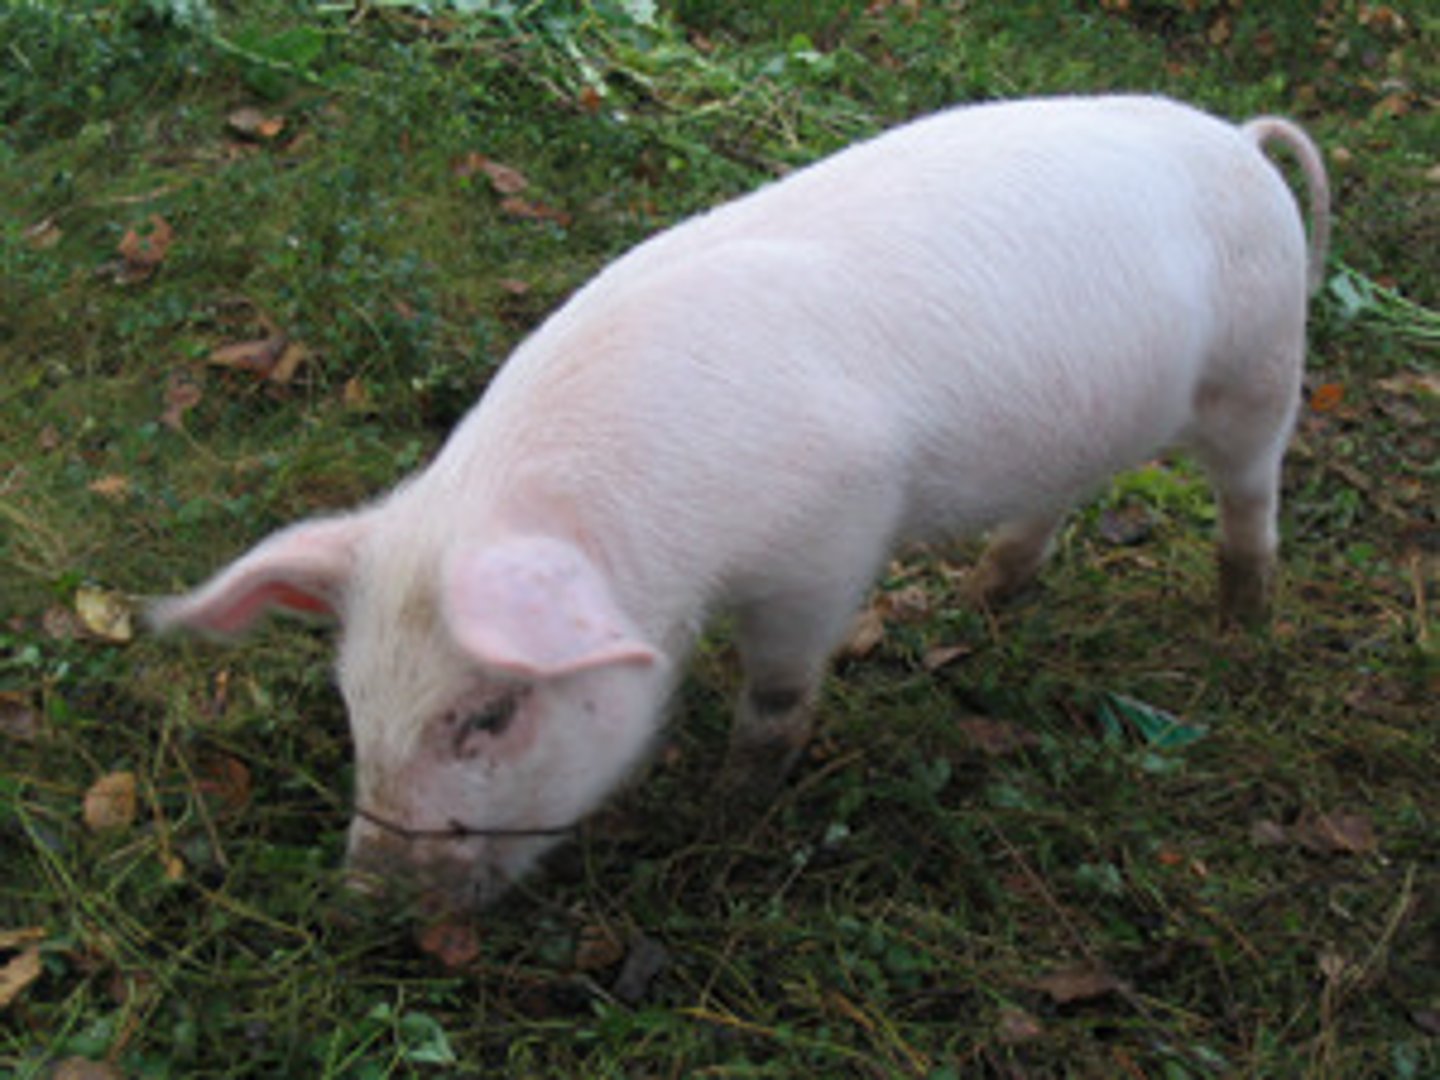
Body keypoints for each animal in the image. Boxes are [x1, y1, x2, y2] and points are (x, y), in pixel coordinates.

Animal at [152, 95, 1329, 910]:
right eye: (354, 703)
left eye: (487, 714)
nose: (367, 903)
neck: (672, 558)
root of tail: (1243, 137)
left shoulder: (833, 534)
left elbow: (777, 700)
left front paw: (724, 820)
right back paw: (986, 599)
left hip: (1262, 364)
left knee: (1252, 496)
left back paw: (1242, 628)